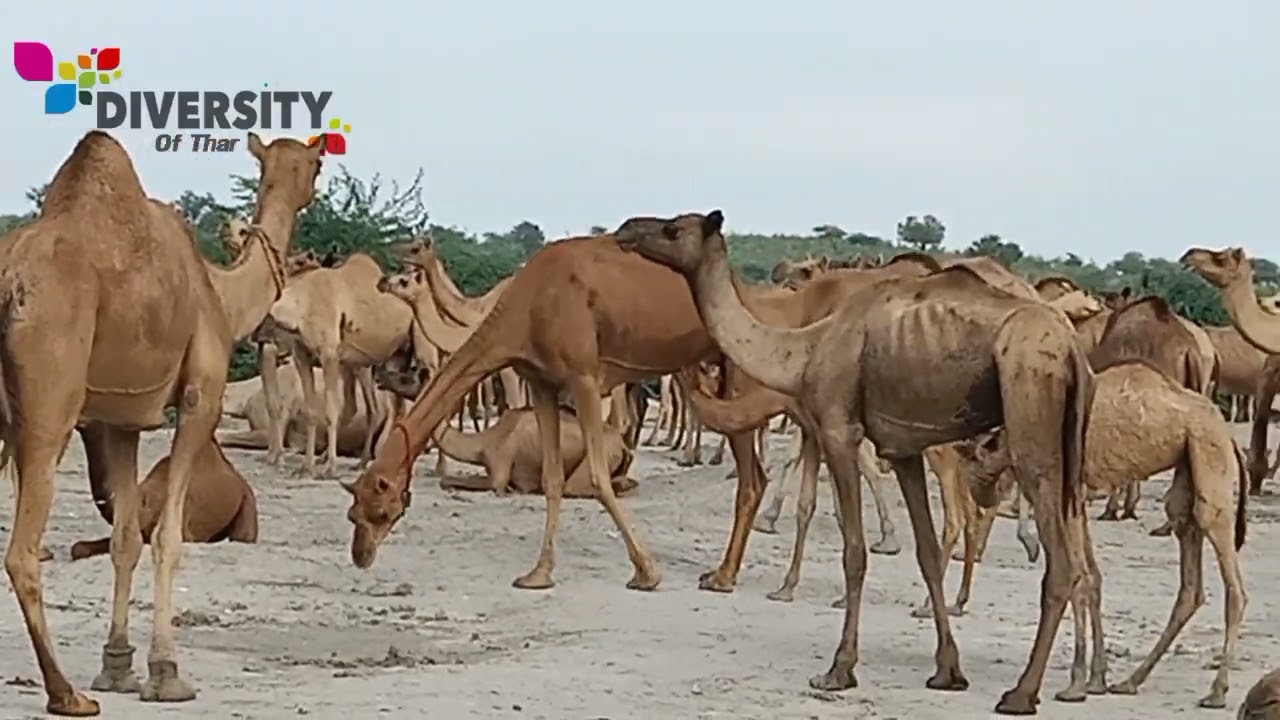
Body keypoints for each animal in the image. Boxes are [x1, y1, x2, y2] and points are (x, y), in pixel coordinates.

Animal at [0, 130, 322, 715]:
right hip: (49, 406)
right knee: (22, 552)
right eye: (317, 163)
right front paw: (166, 673)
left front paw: (118, 666)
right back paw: (65, 693)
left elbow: (127, 539)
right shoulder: (199, 398)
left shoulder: (121, 418)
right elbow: (168, 539)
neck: (220, 294)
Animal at [617, 211, 1092, 715]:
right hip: (1068, 442)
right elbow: (924, 552)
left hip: (1030, 401)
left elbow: (854, 551)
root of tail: (1072, 347)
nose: (626, 229)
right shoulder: (902, 449)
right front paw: (947, 671)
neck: (805, 347)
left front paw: (838, 670)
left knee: (1060, 559)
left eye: (673, 229)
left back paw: (1022, 693)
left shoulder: (837, 429)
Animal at [960, 360, 1247, 709]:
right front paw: (1096, 679)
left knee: (1233, 584)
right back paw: (1130, 681)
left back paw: (1217, 691)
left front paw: (1076, 684)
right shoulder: (1078, 501)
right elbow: (1091, 578)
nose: (979, 493)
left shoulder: (1065, 494)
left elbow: (1078, 578)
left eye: (972, 464)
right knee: (1190, 575)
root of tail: (1229, 435)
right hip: (1188, 467)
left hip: (1209, 454)